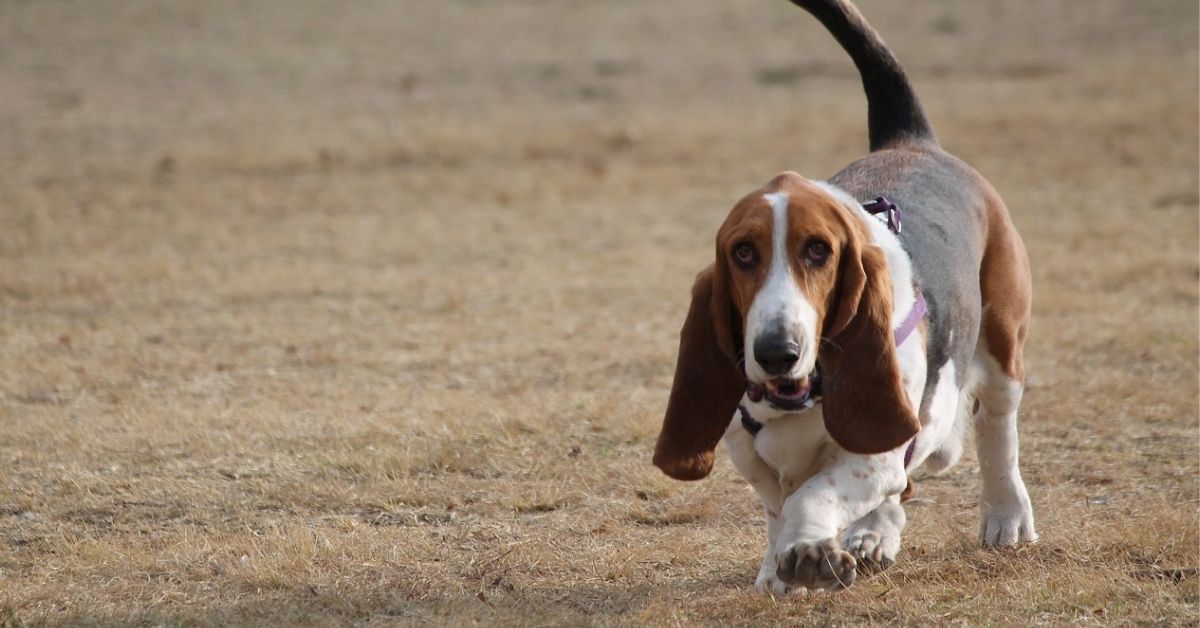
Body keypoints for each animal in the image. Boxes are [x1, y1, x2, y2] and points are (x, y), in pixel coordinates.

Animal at [652, 0, 1036, 595]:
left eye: (818, 250)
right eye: (743, 253)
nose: (775, 352)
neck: (800, 398)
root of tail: (910, 139)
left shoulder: (872, 455)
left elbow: (814, 494)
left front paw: (807, 551)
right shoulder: (751, 454)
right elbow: (778, 505)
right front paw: (779, 568)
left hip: (1002, 348)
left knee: (997, 429)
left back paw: (1006, 516)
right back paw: (876, 535)